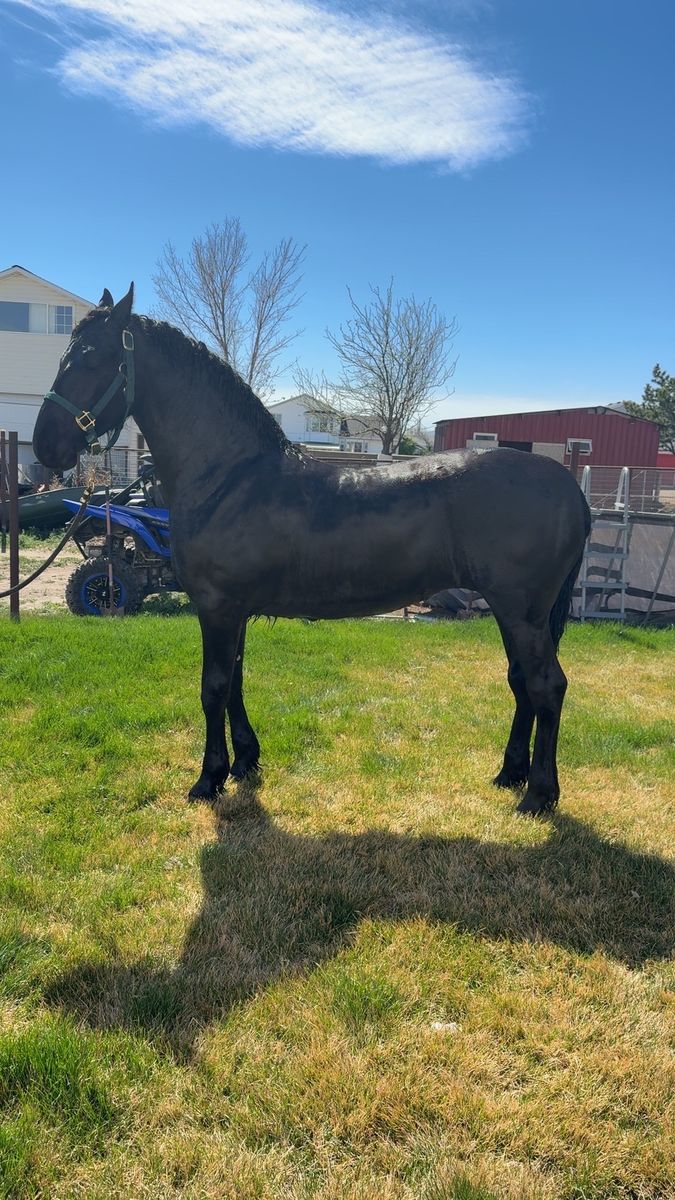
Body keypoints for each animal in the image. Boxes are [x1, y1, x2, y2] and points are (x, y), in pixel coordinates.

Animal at [33, 285, 591, 815]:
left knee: (546, 687)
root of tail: (570, 487)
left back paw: (539, 794)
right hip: (515, 614)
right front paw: (246, 762)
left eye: (89, 357)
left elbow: (213, 688)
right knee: (521, 683)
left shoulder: (216, 607)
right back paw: (509, 774)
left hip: (521, 613)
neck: (230, 477)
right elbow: (235, 681)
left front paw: (208, 779)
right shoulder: (233, 610)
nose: (45, 446)